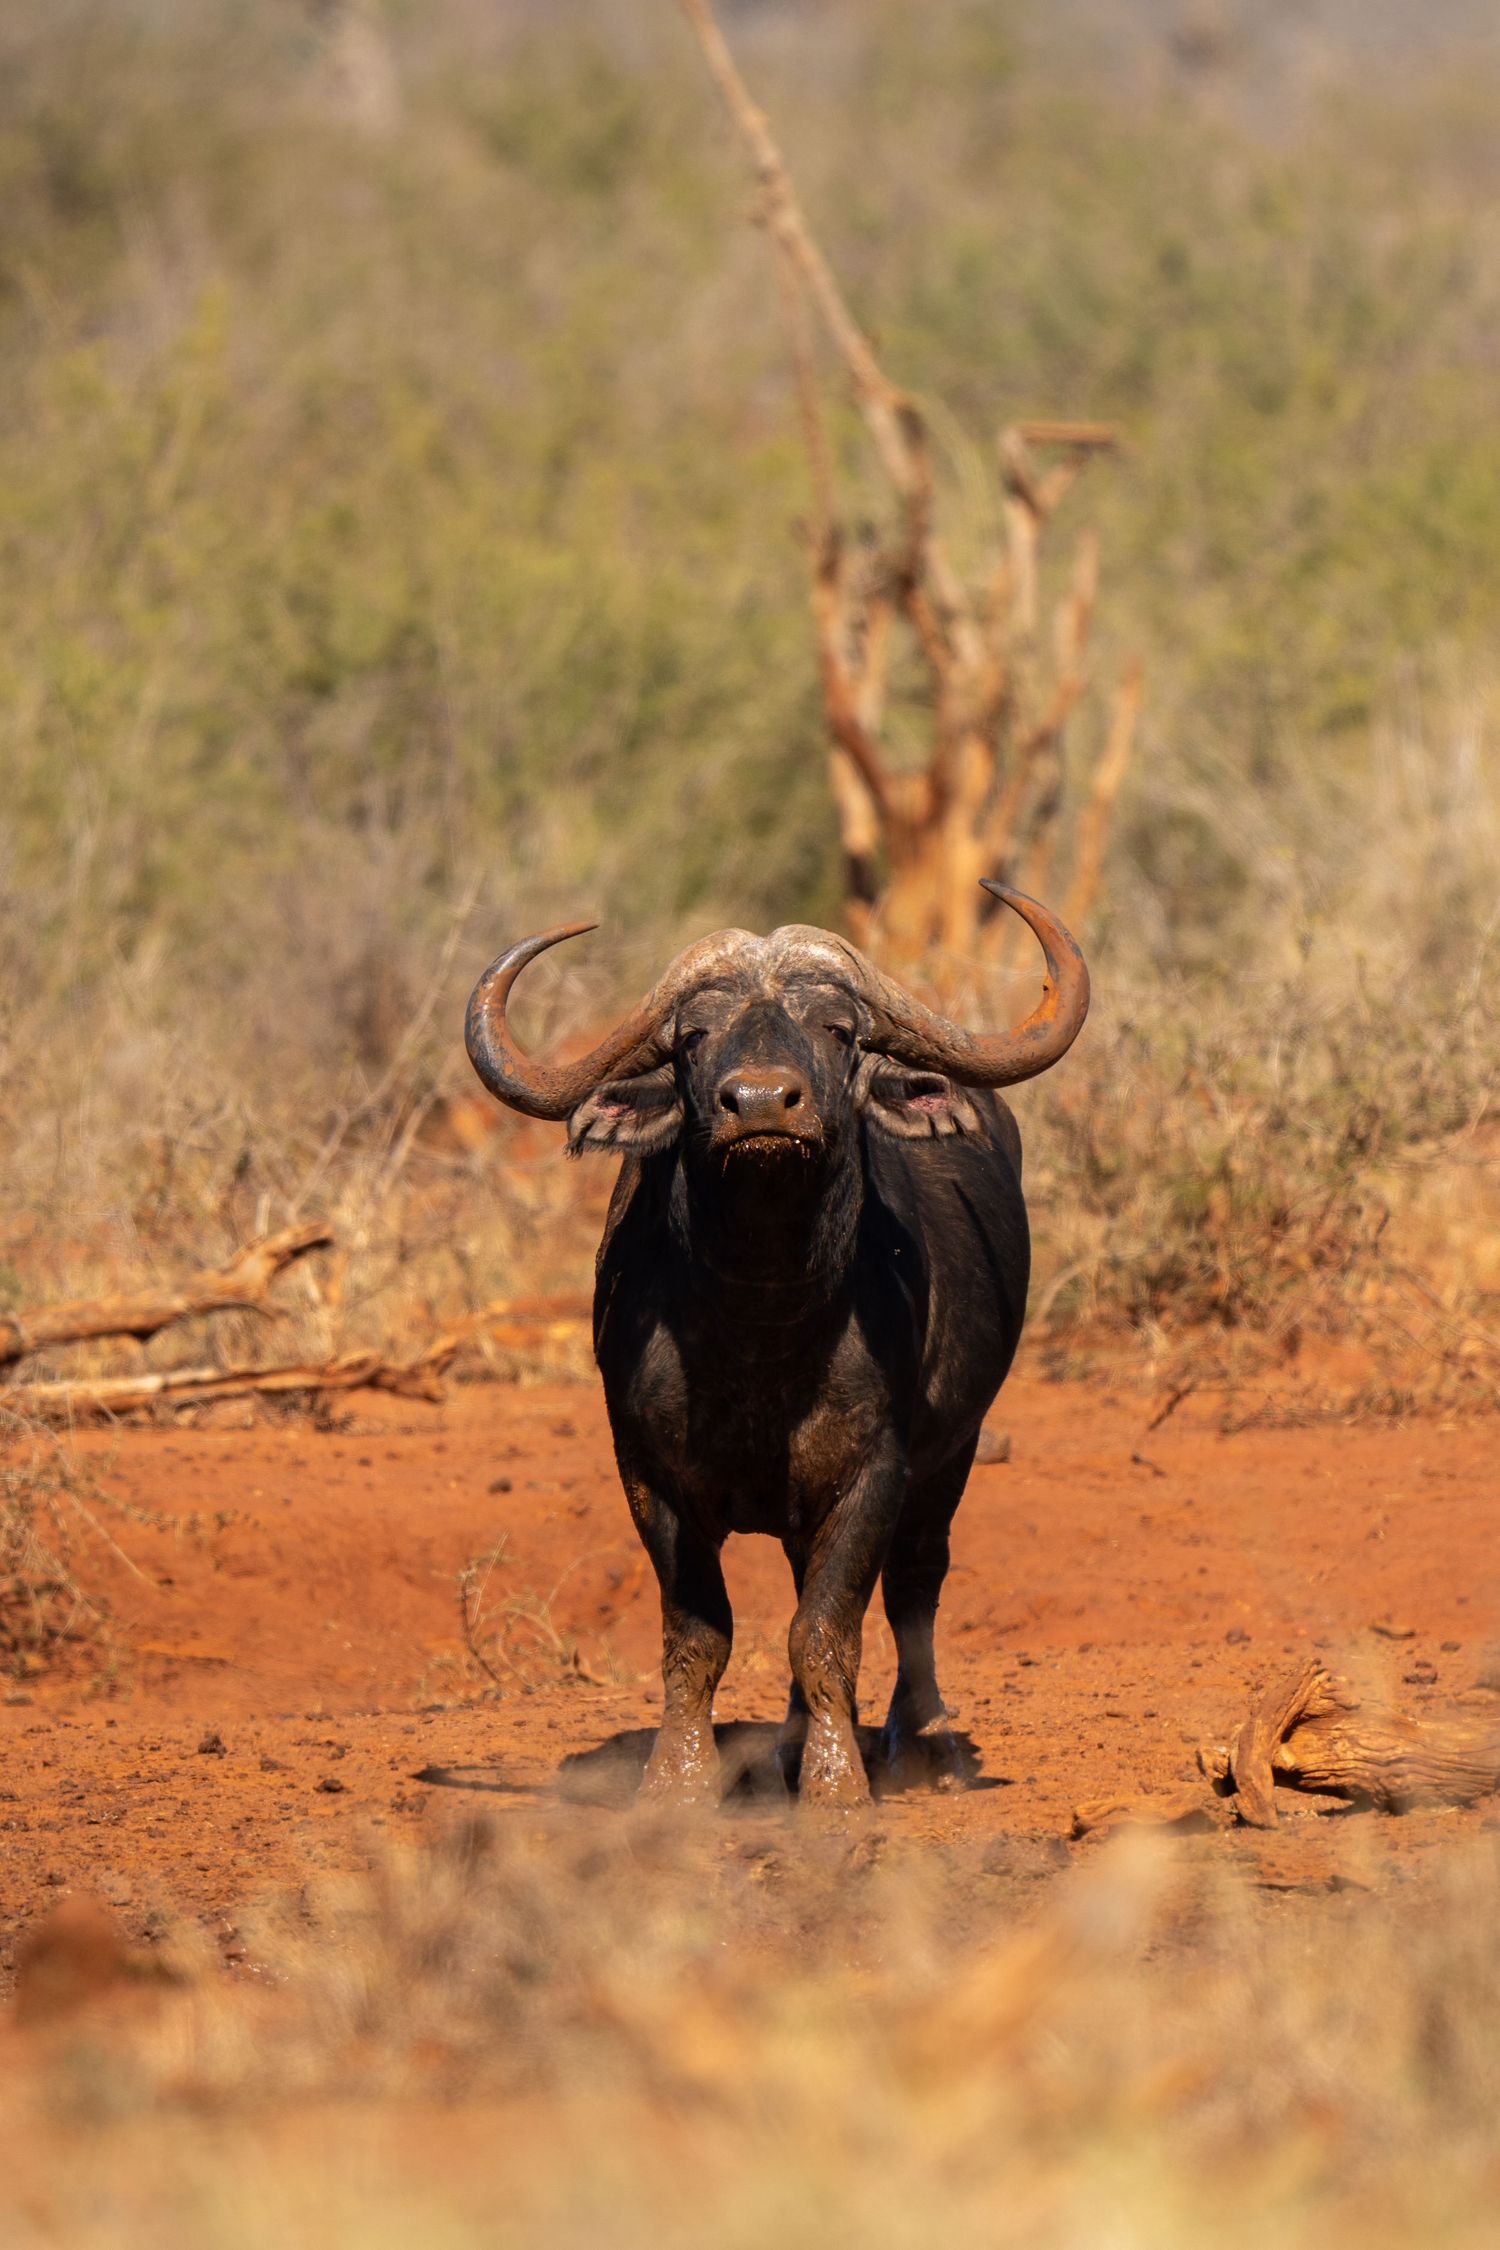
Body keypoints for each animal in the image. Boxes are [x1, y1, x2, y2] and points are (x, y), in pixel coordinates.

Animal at [465, 879, 1088, 1809]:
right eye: (694, 1037)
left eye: (837, 1030)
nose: (761, 1104)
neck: (762, 1324)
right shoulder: (647, 1475)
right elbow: (702, 1634)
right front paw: (680, 1780)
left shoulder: (877, 1471)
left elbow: (828, 1629)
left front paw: (837, 1787)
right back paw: (793, 1746)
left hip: (956, 1455)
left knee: (914, 1589)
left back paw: (921, 1745)